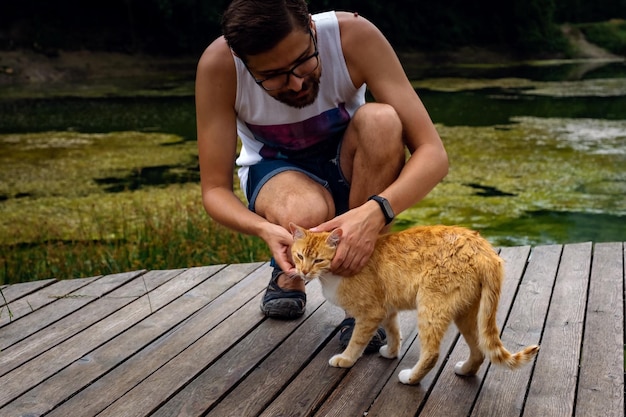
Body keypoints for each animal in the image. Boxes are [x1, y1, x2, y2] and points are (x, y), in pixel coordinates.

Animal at [288, 223, 536, 386]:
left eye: (318, 260)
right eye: (299, 256)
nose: (304, 272)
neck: (330, 275)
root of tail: (481, 247)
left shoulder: (370, 313)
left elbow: (357, 341)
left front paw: (346, 360)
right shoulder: (386, 310)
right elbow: (394, 332)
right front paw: (391, 352)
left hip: (431, 308)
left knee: (432, 353)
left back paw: (410, 378)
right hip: (467, 313)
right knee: (479, 350)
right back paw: (465, 370)